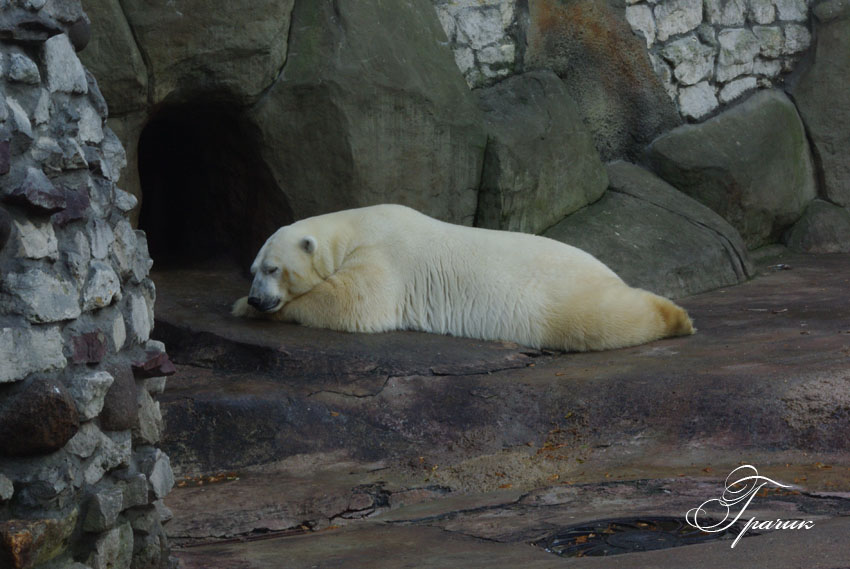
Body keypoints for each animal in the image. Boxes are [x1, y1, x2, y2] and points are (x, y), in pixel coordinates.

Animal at [230, 204, 688, 350]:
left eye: (273, 269)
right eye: (253, 269)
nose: (256, 298)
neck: (354, 228)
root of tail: (607, 270)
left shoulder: (383, 255)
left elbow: (355, 303)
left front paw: (244, 309)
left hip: (559, 297)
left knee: (602, 317)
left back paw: (676, 317)